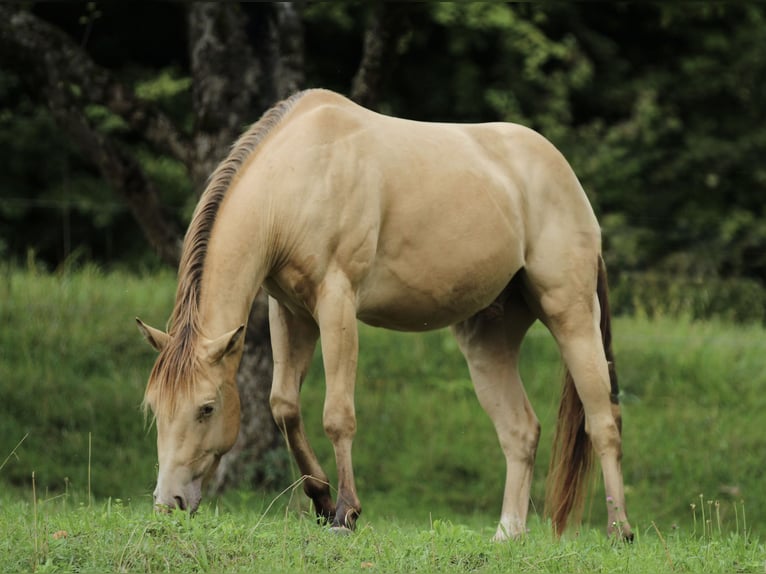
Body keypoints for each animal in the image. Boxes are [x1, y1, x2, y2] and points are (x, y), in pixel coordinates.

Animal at [136, 88, 633, 541]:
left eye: (206, 408)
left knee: (603, 422)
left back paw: (619, 530)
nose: (169, 503)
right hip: (488, 341)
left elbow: (338, 414)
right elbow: (284, 406)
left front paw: (345, 513)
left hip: (571, 316)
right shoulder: (291, 312)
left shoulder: (337, 303)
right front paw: (320, 498)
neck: (300, 175)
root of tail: (565, 175)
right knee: (520, 431)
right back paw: (508, 535)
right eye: (156, 407)